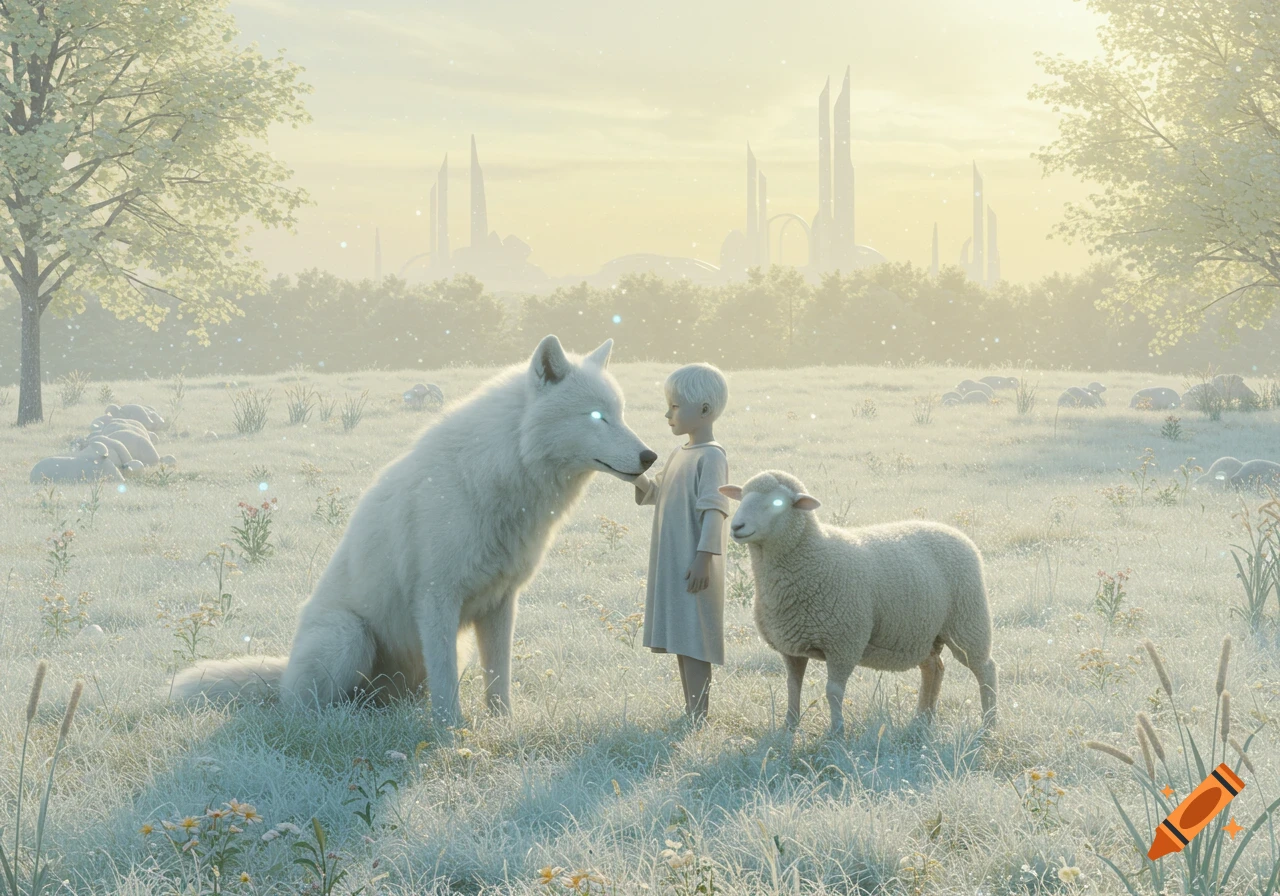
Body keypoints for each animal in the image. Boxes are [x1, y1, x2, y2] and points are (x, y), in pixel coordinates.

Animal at [171, 335, 656, 726]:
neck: (499, 471)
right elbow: (448, 691)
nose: (650, 456)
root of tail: (285, 671)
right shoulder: (436, 599)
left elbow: (499, 681)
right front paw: (451, 734)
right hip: (348, 637)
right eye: (597, 417)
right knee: (303, 710)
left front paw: (503, 727)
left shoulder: (500, 603)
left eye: (620, 414)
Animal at [718, 470, 997, 736]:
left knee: (985, 669)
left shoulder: (843, 643)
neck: (812, 553)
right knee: (933, 669)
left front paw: (836, 732)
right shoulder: (792, 647)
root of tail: (956, 533)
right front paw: (789, 727)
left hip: (967, 621)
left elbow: (833, 691)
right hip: (921, 632)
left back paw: (989, 724)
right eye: (742, 497)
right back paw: (921, 720)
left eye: (777, 503)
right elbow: (792, 687)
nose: (736, 526)